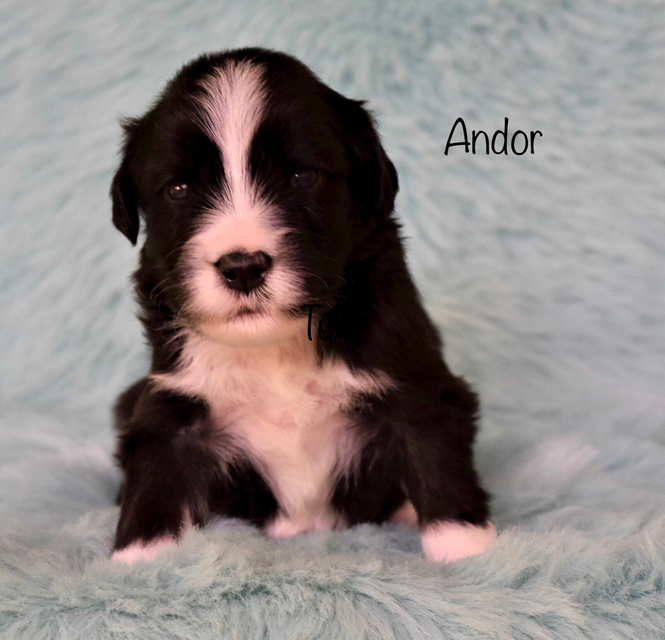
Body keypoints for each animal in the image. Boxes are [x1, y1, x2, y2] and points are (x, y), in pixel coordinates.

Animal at [109, 47, 492, 564]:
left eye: (302, 176)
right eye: (179, 189)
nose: (243, 267)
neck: (275, 348)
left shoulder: (413, 377)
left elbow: (434, 452)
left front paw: (466, 549)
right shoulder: (174, 397)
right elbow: (156, 470)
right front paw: (141, 558)